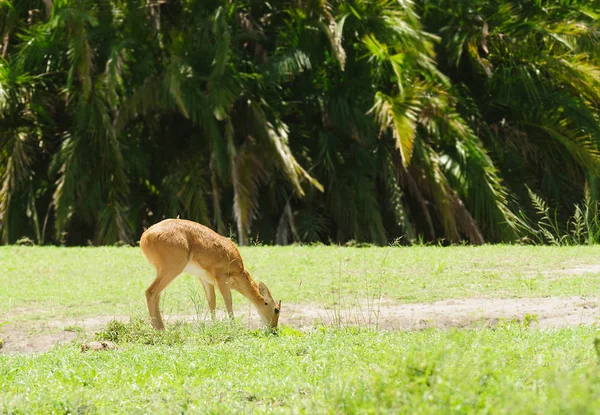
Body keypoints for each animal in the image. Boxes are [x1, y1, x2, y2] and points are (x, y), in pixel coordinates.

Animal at [141, 219, 282, 330]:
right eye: (276, 309)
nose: (274, 329)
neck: (239, 269)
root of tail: (145, 237)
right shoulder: (222, 278)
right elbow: (228, 301)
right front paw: (233, 326)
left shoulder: (206, 280)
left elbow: (211, 302)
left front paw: (214, 324)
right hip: (171, 270)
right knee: (151, 292)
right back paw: (158, 329)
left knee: (156, 295)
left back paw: (162, 328)